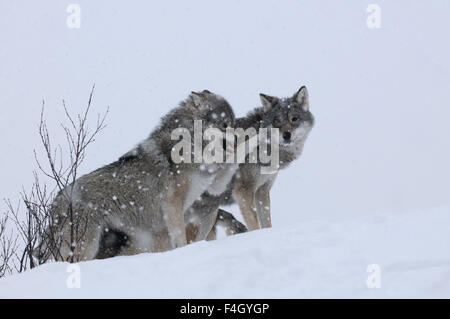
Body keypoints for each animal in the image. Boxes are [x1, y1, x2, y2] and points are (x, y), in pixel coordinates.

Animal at [185, 86, 314, 241]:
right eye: (277, 121)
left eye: (294, 118)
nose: (286, 135)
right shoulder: (244, 191)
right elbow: (254, 224)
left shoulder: (262, 191)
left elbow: (267, 223)